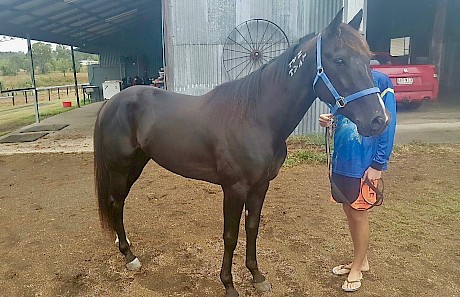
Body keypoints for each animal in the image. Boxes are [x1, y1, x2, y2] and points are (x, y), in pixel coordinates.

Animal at [95, 8, 390, 296]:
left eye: (368, 59)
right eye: (339, 60)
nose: (380, 120)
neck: (256, 117)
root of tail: (113, 102)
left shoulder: (260, 186)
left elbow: (252, 228)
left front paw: (257, 276)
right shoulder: (234, 188)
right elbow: (230, 235)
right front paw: (228, 284)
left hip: (136, 164)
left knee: (118, 203)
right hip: (120, 167)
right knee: (116, 202)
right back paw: (129, 256)